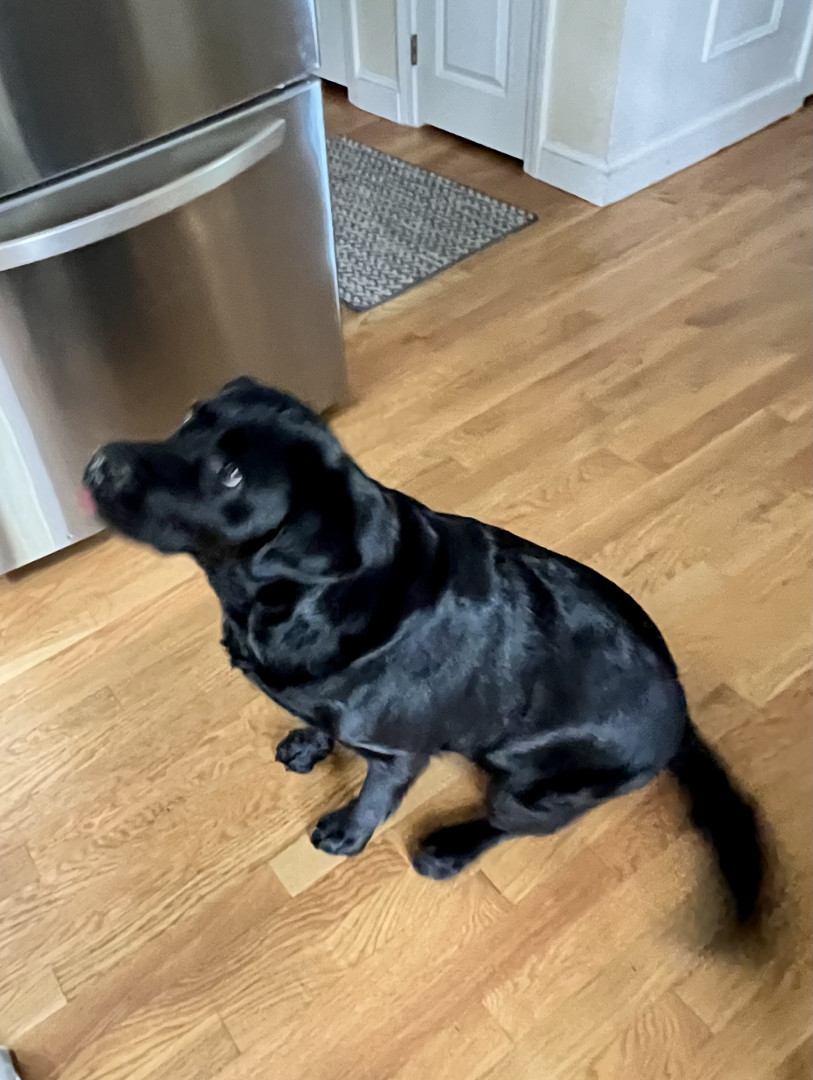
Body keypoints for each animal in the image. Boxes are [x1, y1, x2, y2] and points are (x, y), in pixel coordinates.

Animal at [83, 377, 763, 920]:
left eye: (232, 475)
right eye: (189, 416)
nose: (97, 463)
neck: (302, 600)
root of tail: (682, 718)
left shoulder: (397, 755)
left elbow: (374, 798)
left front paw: (347, 834)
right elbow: (322, 721)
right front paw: (308, 741)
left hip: (536, 790)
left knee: (511, 827)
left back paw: (448, 849)